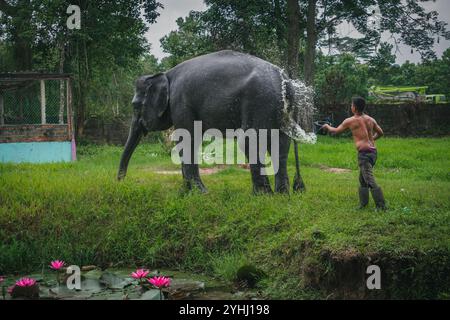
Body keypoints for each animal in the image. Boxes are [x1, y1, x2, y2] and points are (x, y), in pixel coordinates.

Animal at [119, 50, 316, 195]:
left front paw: (201, 194)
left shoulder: (180, 102)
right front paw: (185, 193)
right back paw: (282, 194)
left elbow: (187, 140)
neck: (165, 74)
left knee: (250, 141)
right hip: (278, 108)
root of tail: (284, 80)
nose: (121, 181)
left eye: (135, 106)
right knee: (281, 142)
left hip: (259, 100)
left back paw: (262, 195)